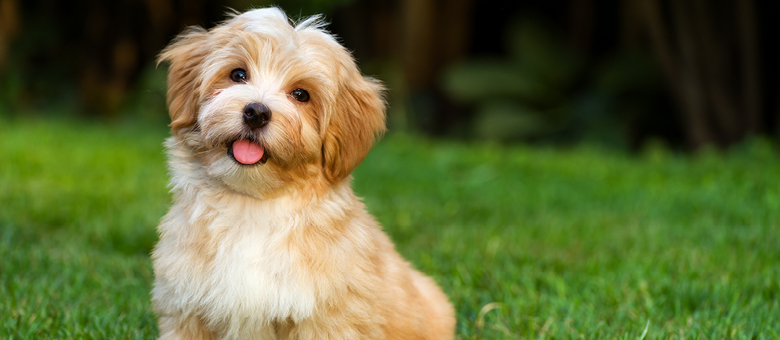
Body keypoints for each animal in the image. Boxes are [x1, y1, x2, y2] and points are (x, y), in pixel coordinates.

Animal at [151, 7, 458, 340]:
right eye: (238, 75)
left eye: (300, 94)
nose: (256, 112)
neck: (253, 205)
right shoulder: (187, 306)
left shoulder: (326, 318)